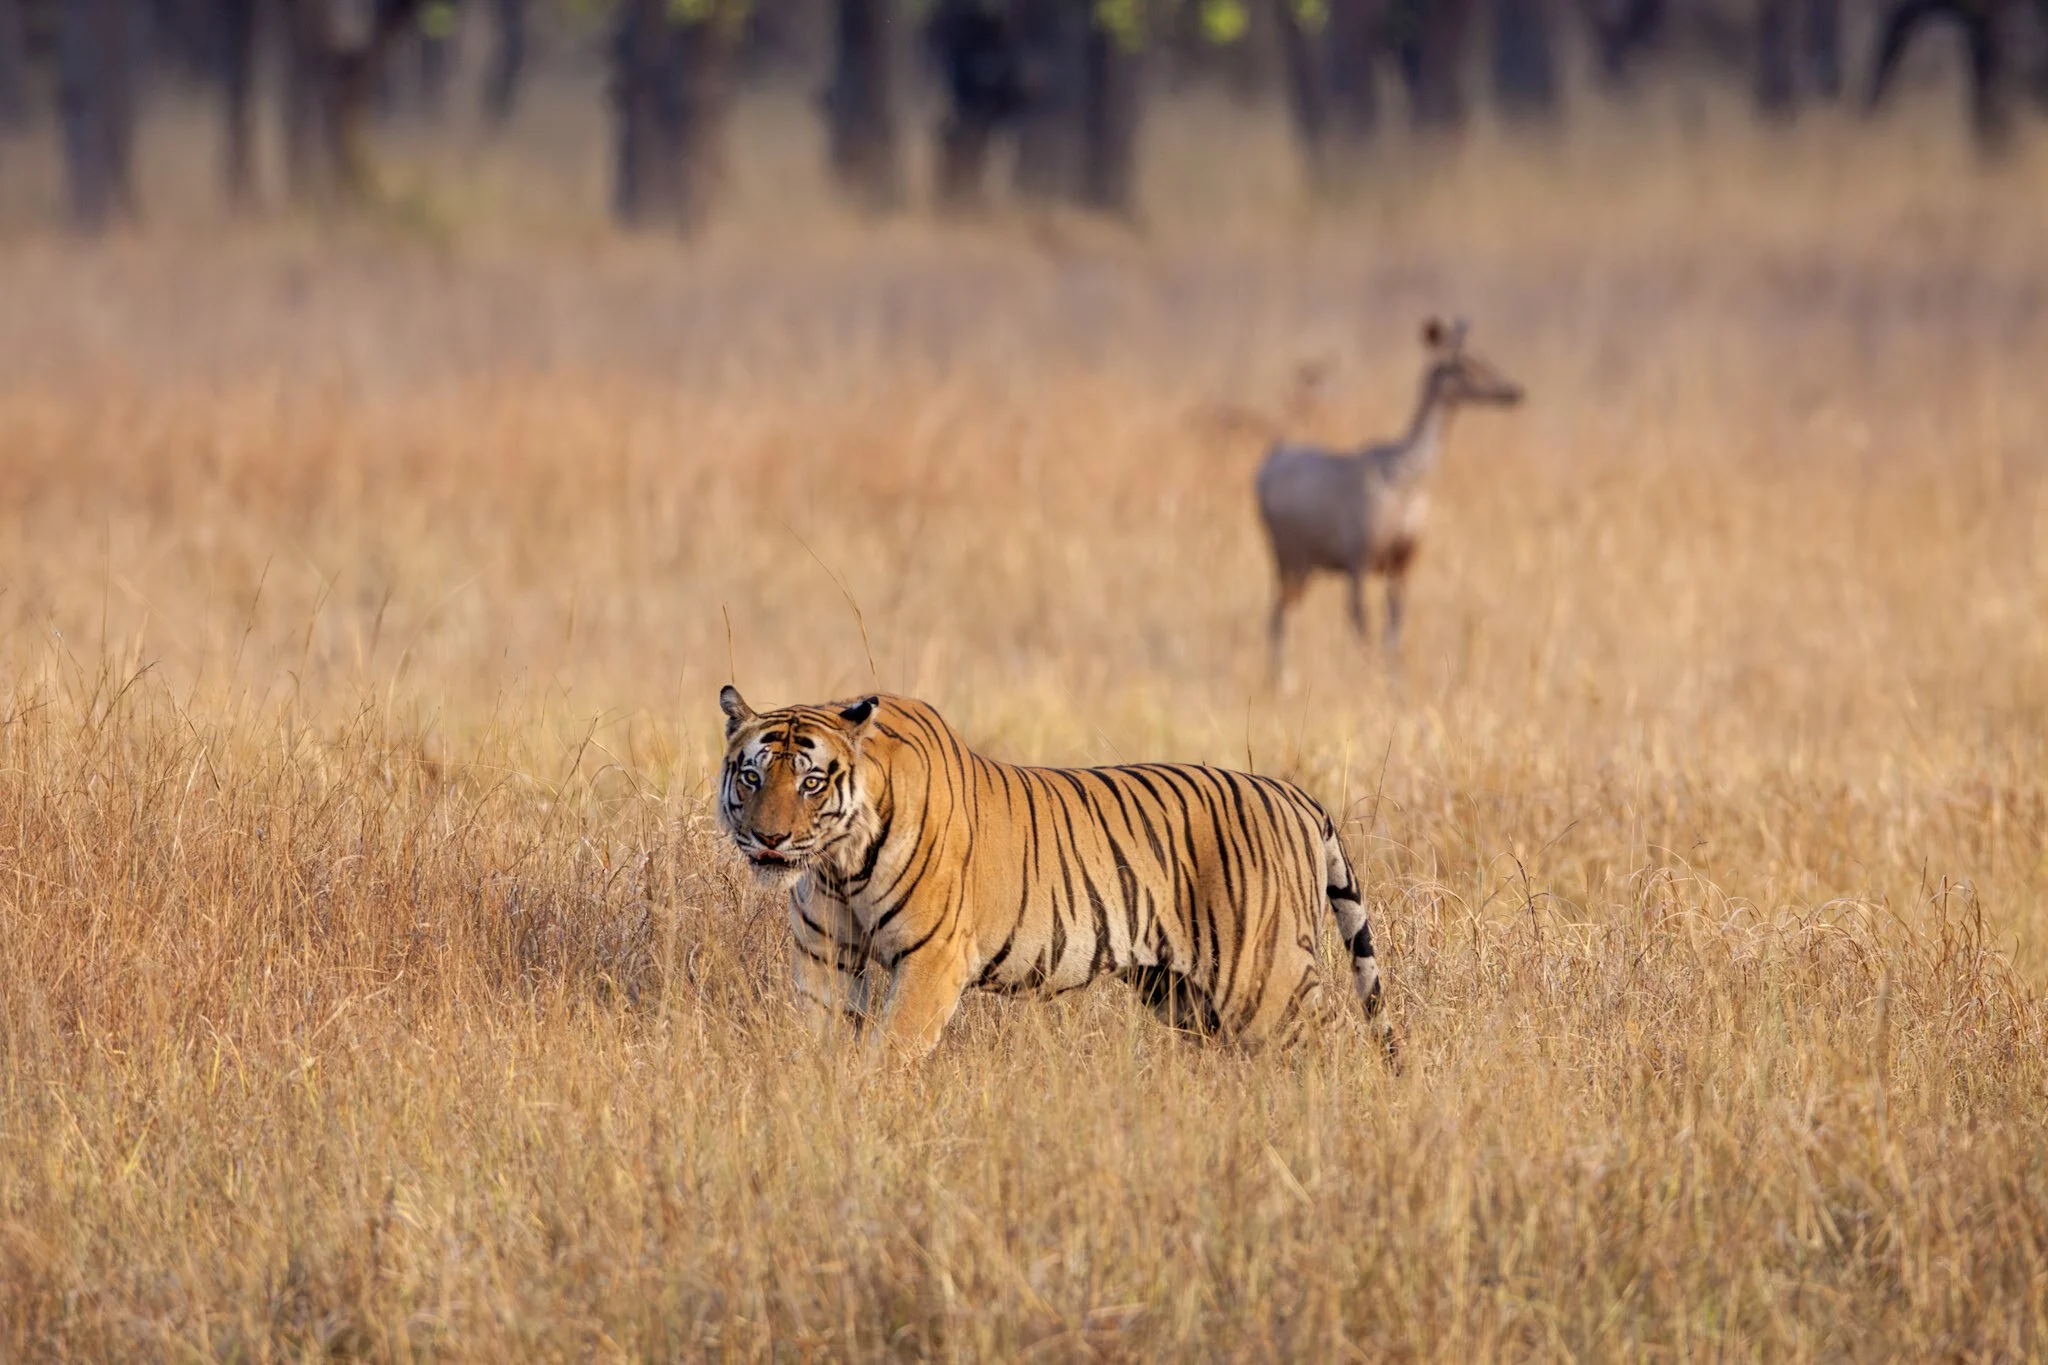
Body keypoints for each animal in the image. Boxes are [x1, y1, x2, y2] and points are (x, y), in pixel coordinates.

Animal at [715, 686, 1395, 1060]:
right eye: (751, 776)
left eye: (810, 782)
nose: (769, 840)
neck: (838, 862)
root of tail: (1294, 795)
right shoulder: (825, 960)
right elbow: (821, 1046)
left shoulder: (932, 960)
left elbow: (890, 1052)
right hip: (1183, 992)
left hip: (1267, 979)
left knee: (1323, 1047)